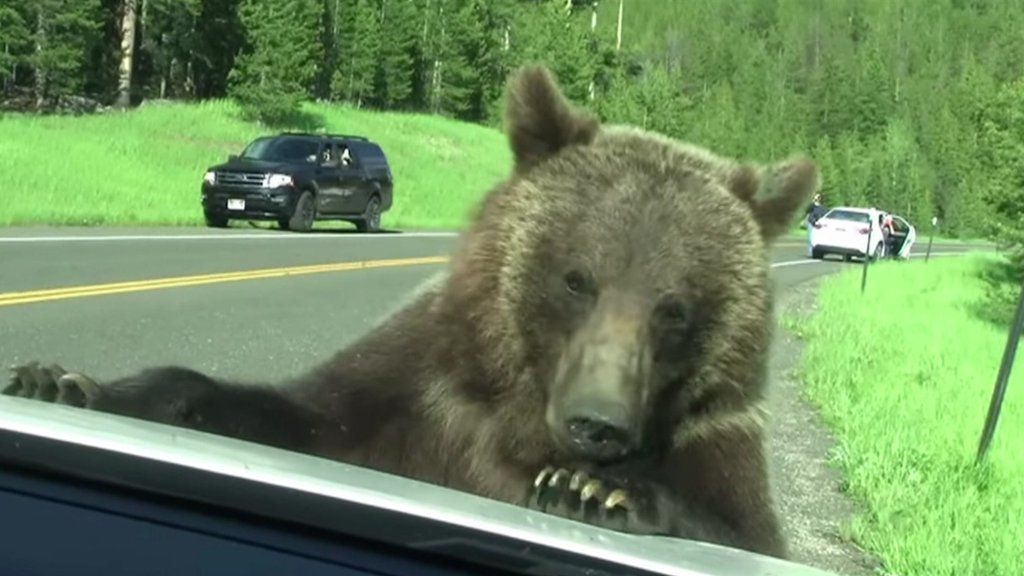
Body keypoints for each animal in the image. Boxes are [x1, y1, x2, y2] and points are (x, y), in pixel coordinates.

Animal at [2, 65, 815, 557]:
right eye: (577, 278)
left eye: (675, 308)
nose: (599, 424)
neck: (518, 417)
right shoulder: (421, 388)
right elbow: (291, 415)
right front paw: (59, 381)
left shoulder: (716, 440)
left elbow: (741, 529)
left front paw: (599, 490)